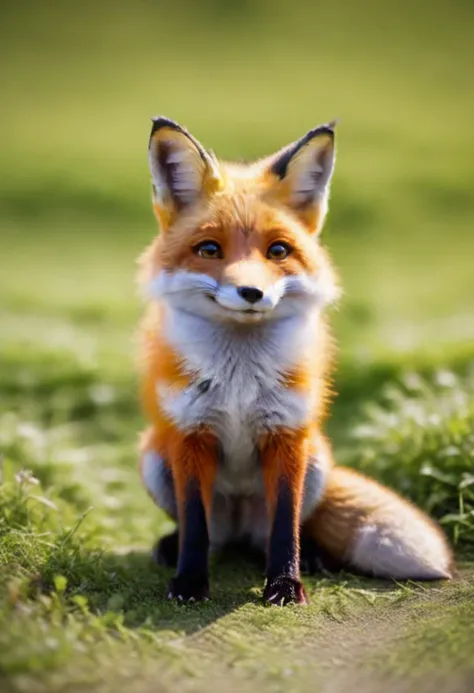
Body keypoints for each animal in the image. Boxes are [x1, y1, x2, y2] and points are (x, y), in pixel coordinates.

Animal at [136, 116, 452, 604]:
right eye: (209, 249)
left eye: (278, 251)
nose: (251, 292)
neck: (238, 381)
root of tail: (241, 525)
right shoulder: (189, 435)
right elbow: (194, 525)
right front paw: (189, 581)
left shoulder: (287, 435)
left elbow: (286, 528)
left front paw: (285, 584)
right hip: (154, 457)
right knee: (214, 537)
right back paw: (176, 549)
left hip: (317, 461)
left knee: (275, 535)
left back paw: (314, 558)